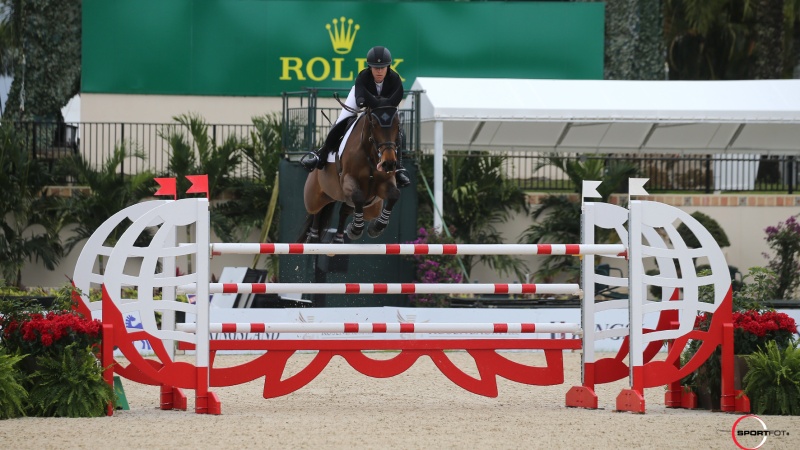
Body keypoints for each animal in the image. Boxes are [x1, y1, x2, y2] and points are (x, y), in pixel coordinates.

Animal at [298, 105, 404, 243]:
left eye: (398, 125)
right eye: (374, 125)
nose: (389, 164)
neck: (370, 153)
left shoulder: (385, 182)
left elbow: (394, 194)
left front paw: (375, 227)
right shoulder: (348, 180)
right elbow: (358, 195)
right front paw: (356, 229)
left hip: (371, 208)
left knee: (345, 210)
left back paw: (338, 238)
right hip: (314, 196)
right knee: (317, 210)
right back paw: (314, 237)